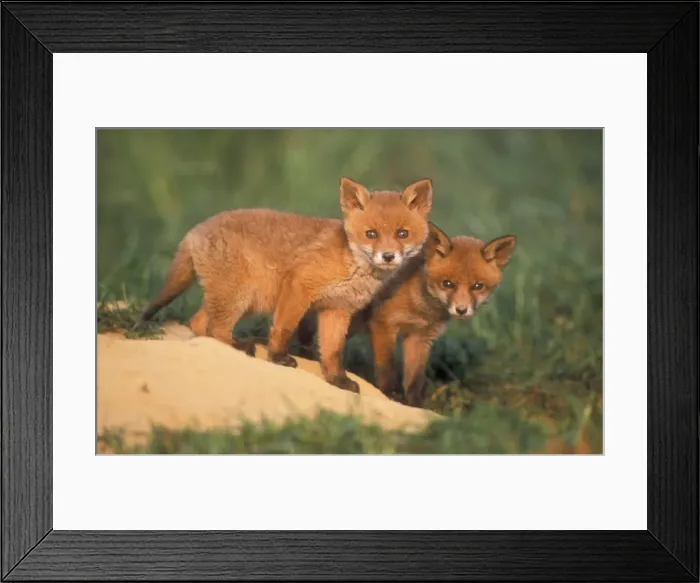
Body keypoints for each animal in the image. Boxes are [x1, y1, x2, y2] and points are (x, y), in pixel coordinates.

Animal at [141, 177, 434, 393]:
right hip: (238, 297)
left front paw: (337, 380)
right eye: (371, 234)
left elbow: (332, 351)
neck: (350, 263)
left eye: (402, 234)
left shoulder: (336, 310)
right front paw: (278, 358)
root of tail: (193, 231)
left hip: (236, 298)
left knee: (199, 324)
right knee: (215, 328)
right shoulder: (299, 287)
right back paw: (239, 346)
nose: (388, 256)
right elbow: (284, 328)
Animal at [293, 223, 517, 406]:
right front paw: (392, 394)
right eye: (447, 284)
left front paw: (414, 403)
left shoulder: (420, 338)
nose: (461, 310)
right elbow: (387, 367)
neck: (422, 309)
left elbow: (414, 377)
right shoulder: (383, 325)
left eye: (478, 286)